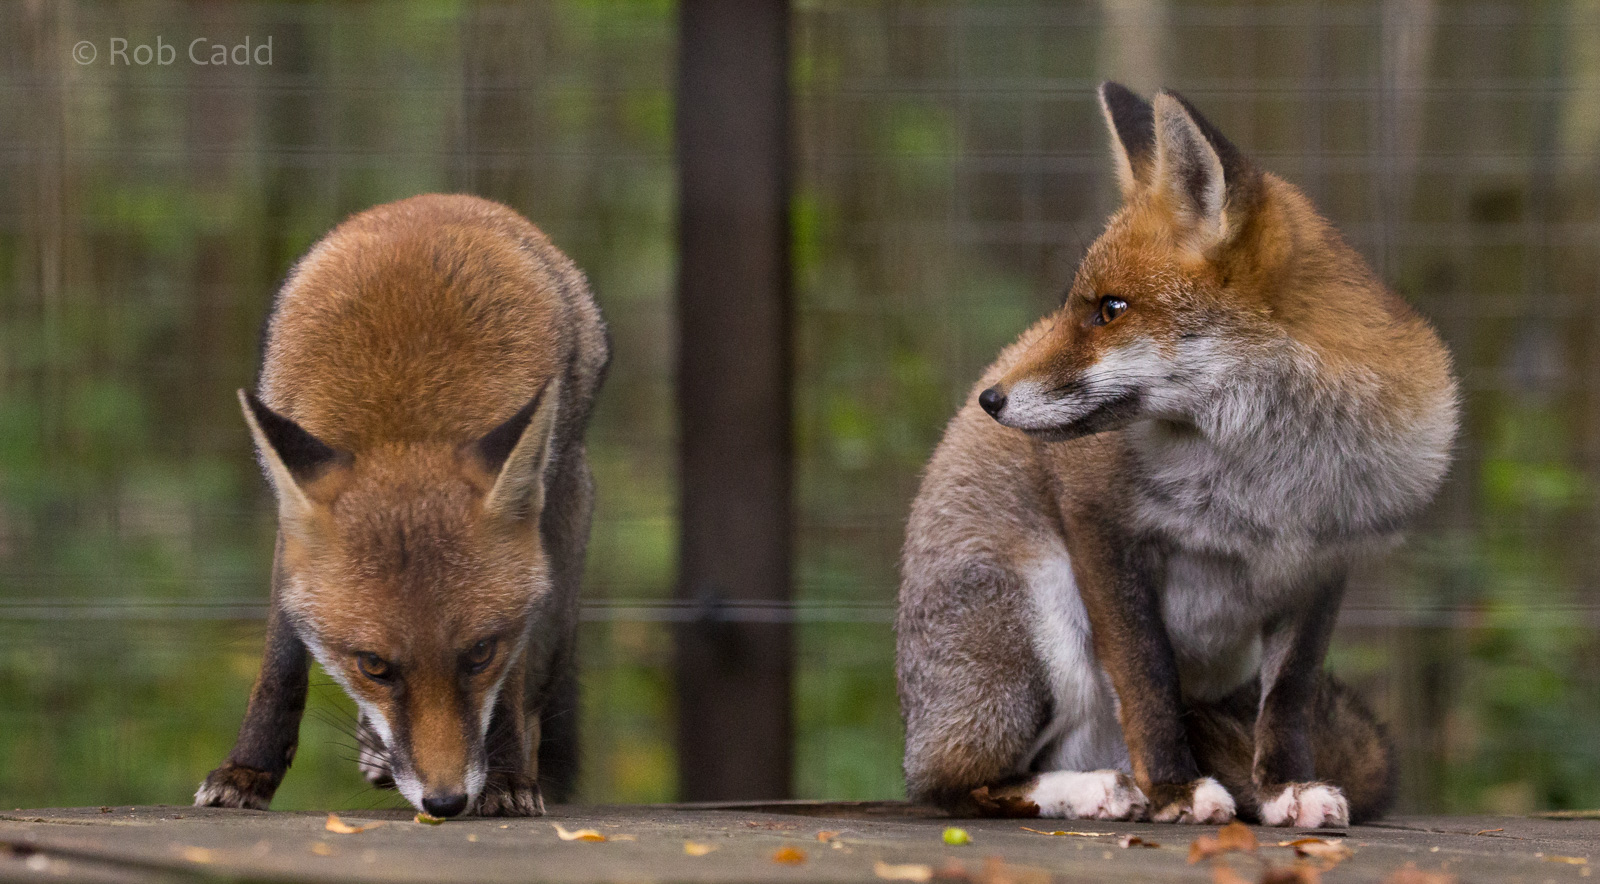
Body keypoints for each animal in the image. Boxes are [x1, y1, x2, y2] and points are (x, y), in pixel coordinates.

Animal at [194, 194, 609, 818]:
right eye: (374, 665)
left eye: (480, 653)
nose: (446, 801)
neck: (404, 411)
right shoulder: (293, 538)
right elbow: (280, 664)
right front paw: (250, 769)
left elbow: (511, 688)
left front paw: (507, 778)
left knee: (538, 694)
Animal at [896, 84, 1458, 827]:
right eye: (1077, 307)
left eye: (1110, 310)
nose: (989, 397)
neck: (1267, 480)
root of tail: (916, 727)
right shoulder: (1101, 528)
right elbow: (1148, 680)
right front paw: (1175, 790)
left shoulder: (1325, 567)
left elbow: (1288, 698)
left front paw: (1283, 789)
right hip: (1042, 629)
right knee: (960, 784)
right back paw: (1097, 789)